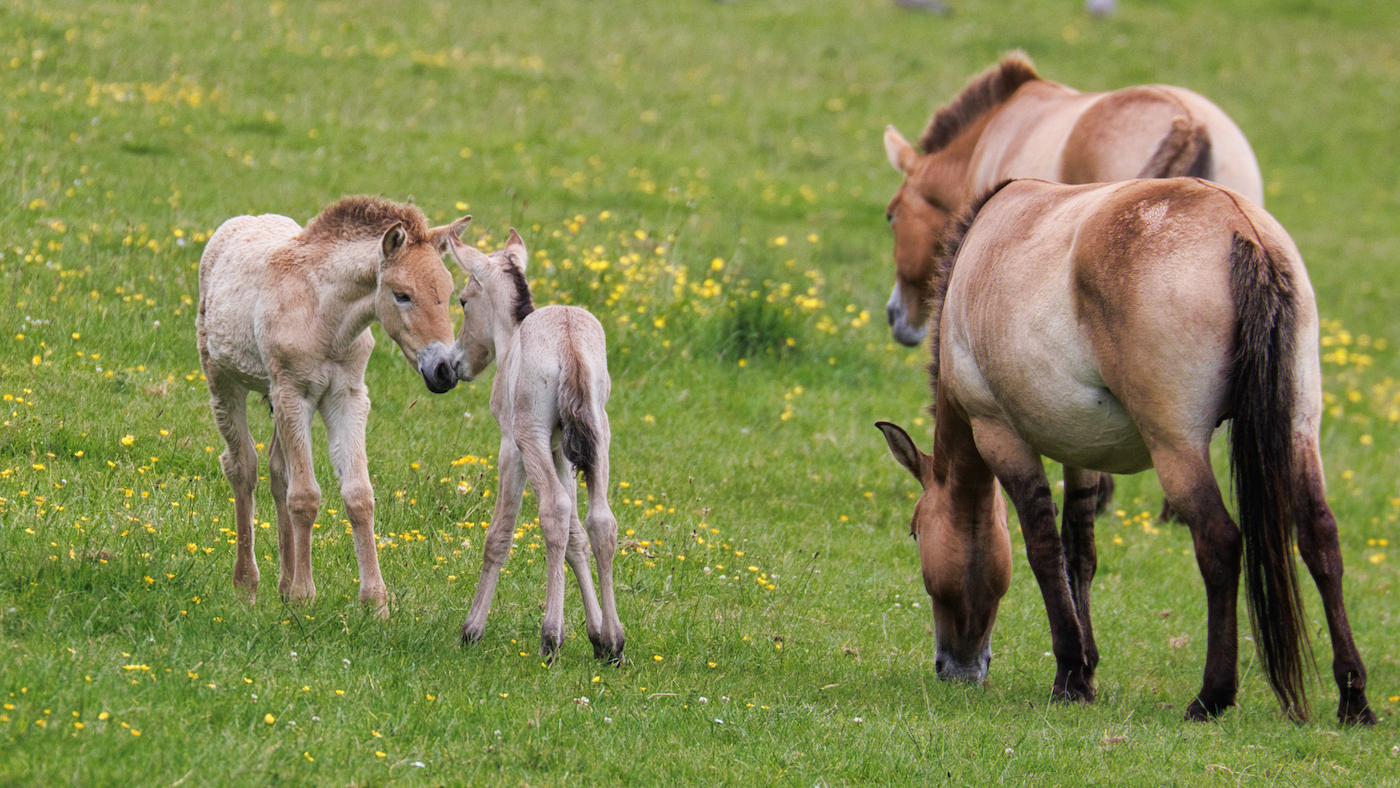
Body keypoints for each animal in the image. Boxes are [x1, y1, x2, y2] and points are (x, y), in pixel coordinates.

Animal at [198, 196, 470, 617]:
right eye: (402, 294)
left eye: (451, 293)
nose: (444, 372)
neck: (326, 316)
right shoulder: (293, 393)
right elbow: (305, 497)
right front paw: (304, 597)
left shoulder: (348, 396)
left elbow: (358, 496)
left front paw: (376, 604)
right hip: (224, 379)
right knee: (242, 467)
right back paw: (247, 586)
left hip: (275, 397)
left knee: (277, 472)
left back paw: (283, 583)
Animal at [447, 228, 625, 664]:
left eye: (463, 301)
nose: (457, 363)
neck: (513, 335)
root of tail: (569, 342)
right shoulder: (562, 450)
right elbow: (578, 538)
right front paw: (596, 635)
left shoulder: (512, 447)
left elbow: (500, 534)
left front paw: (471, 630)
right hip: (599, 436)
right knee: (601, 520)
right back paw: (615, 641)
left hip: (531, 435)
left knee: (554, 510)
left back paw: (550, 637)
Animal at [876, 177, 1374, 725]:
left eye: (915, 533)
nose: (954, 668)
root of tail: (1237, 223)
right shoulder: (1081, 451)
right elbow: (1079, 553)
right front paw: (1087, 666)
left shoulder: (1001, 437)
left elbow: (1045, 553)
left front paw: (1070, 674)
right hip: (1299, 428)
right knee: (1319, 537)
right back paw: (1353, 697)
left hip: (1177, 446)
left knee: (1219, 542)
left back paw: (1212, 695)